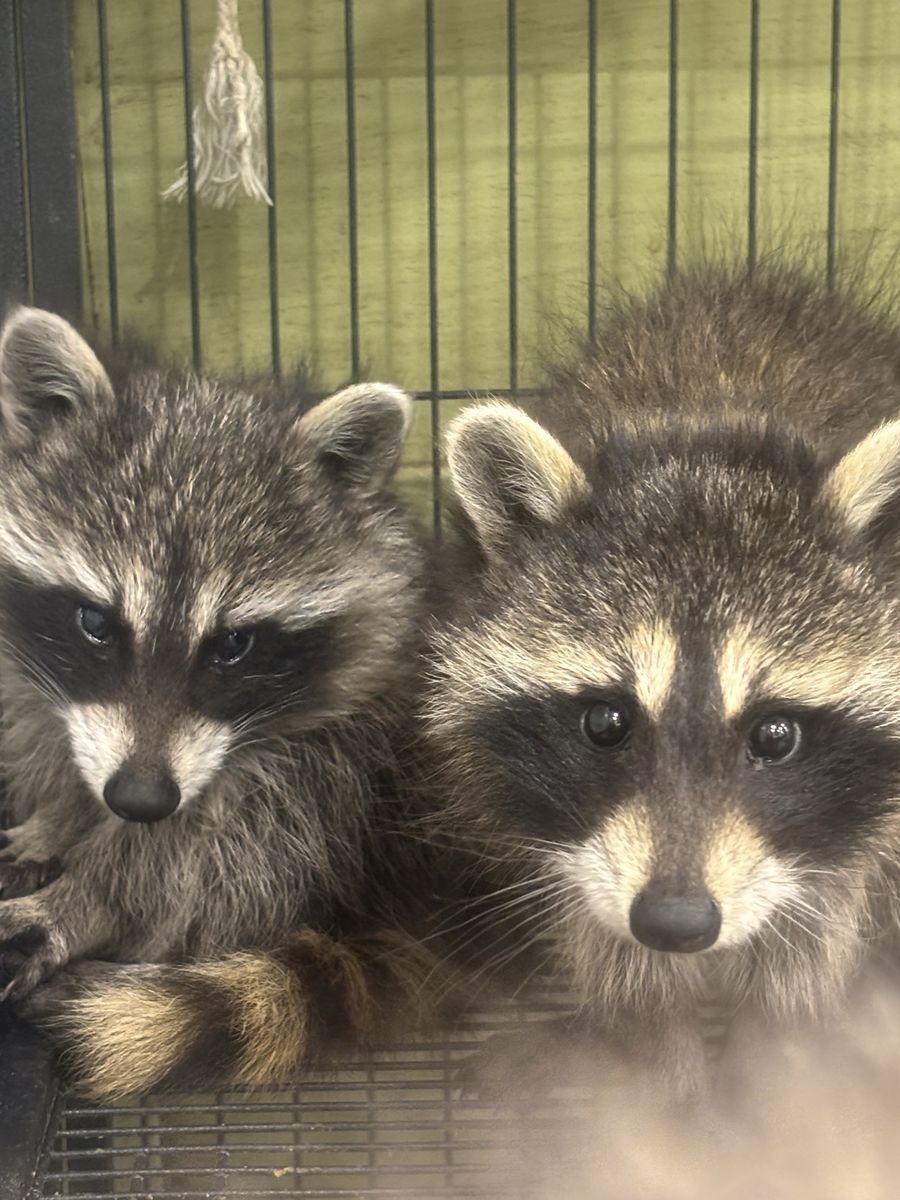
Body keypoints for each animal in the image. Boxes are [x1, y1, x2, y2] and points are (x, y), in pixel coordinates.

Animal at [0, 307, 425, 1047]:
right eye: (94, 621)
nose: (140, 799)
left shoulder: (340, 757)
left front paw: (85, 902)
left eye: (232, 645)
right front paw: (59, 815)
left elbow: (224, 870)